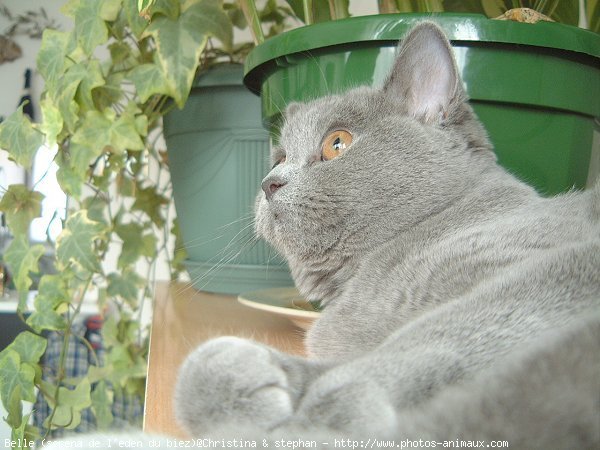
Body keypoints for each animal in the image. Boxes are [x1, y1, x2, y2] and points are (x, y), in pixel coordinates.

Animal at [45, 21, 600, 450]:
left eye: (337, 143)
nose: (270, 182)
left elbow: (438, 335)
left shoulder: (546, 266)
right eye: (278, 157)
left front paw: (334, 410)